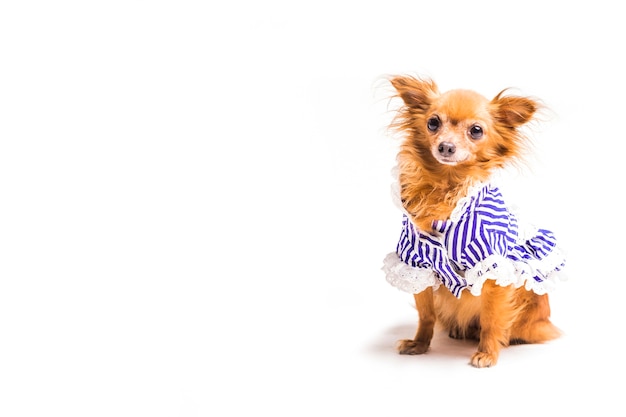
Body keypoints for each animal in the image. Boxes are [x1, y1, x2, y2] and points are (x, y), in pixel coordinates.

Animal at [380, 75, 564, 368]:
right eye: (433, 123)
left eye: (476, 130)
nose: (446, 146)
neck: (446, 187)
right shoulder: (416, 263)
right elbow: (426, 314)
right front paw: (419, 344)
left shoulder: (493, 267)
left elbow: (492, 318)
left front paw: (487, 352)